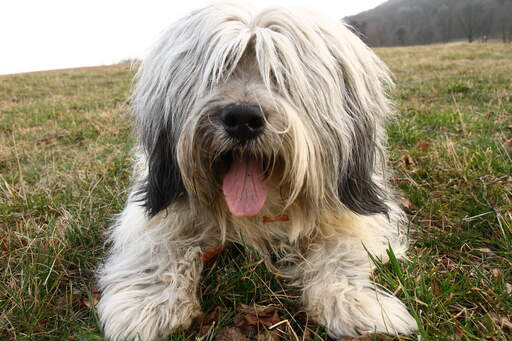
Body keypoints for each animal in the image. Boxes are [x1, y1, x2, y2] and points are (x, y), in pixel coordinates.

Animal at [97, 3, 420, 340]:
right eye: (219, 70)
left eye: (279, 72)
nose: (242, 118)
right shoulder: (159, 207)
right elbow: (159, 245)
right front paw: (147, 305)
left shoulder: (350, 215)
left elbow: (341, 252)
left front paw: (356, 303)